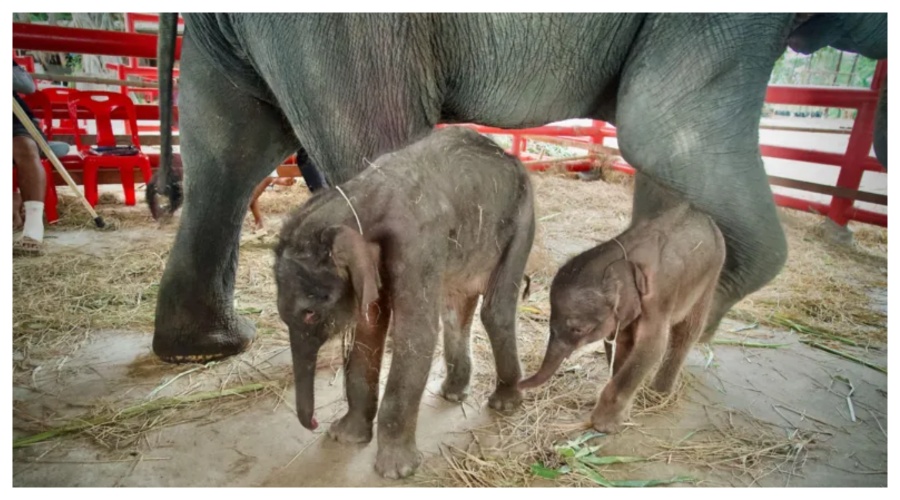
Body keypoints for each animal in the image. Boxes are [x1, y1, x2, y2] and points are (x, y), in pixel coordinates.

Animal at [274, 127, 536, 478]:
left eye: (310, 314)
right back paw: (453, 393)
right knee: (455, 308)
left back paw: (504, 403)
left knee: (495, 310)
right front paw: (344, 437)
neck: (358, 198)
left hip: (523, 219)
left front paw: (395, 472)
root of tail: (509, 156)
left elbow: (416, 334)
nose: (315, 424)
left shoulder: (418, 242)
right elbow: (368, 330)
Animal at [520, 199, 724, 434]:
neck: (626, 257)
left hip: (711, 277)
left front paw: (603, 425)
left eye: (579, 329)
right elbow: (621, 343)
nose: (516, 385)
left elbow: (651, 347)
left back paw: (659, 395)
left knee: (687, 332)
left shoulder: (658, 299)